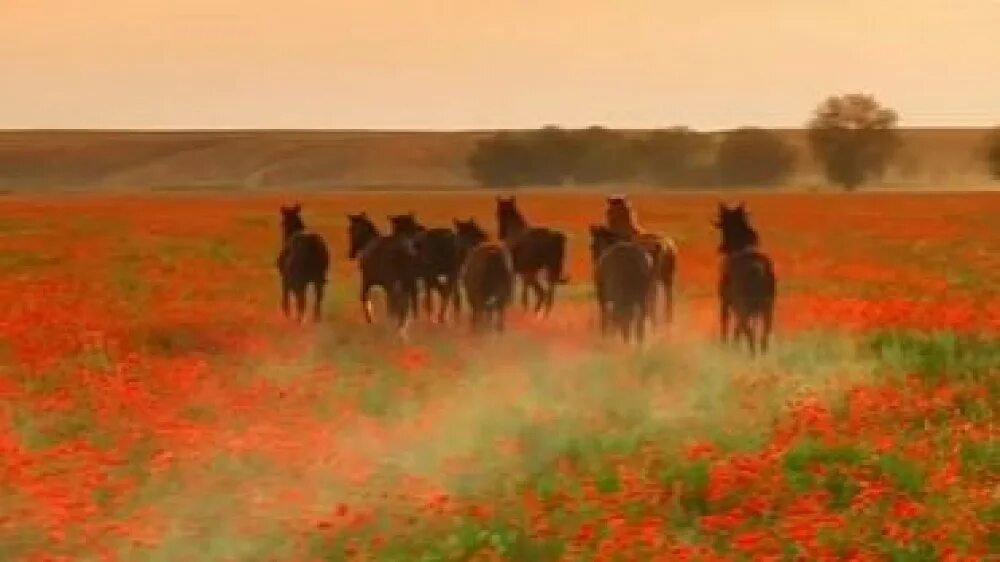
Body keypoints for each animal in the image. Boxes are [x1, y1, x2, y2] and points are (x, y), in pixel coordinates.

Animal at [600, 196, 680, 324]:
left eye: (609, 211)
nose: (607, 226)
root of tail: (665, 245)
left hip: (654, 278)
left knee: (653, 300)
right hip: (667, 278)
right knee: (668, 300)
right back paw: (667, 321)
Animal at [716, 202, 776, 354]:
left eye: (724, 225)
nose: (721, 248)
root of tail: (758, 269)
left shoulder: (725, 301)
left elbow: (725, 325)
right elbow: (737, 329)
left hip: (743, 305)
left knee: (748, 332)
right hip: (767, 306)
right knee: (763, 333)